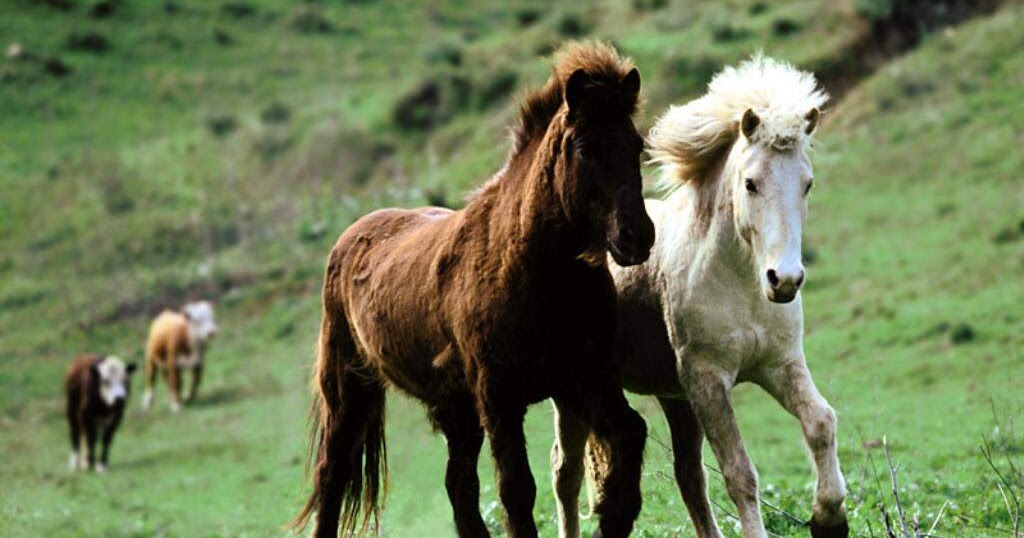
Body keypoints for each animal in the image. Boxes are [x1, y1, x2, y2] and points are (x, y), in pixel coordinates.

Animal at [293, 42, 655, 538]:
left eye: (636, 145)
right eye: (584, 147)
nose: (636, 236)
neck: (534, 270)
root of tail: (351, 236)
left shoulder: (588, 378)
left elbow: (629, 436)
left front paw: (612, 520)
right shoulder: (499, 397)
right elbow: (517, 490)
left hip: (456, 409)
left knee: (458, 485)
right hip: (351, 390)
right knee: (333, 472)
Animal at [551, 55, 849, 538]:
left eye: (807, 183)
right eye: (750, 183)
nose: (784, 280)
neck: (742, 286)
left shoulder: (779, 365)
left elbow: (821, 422)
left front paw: (828, 517)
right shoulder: (709, 379)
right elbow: (740, 473)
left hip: (674, 400)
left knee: (688, 476)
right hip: (576, 393)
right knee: (566, 472)